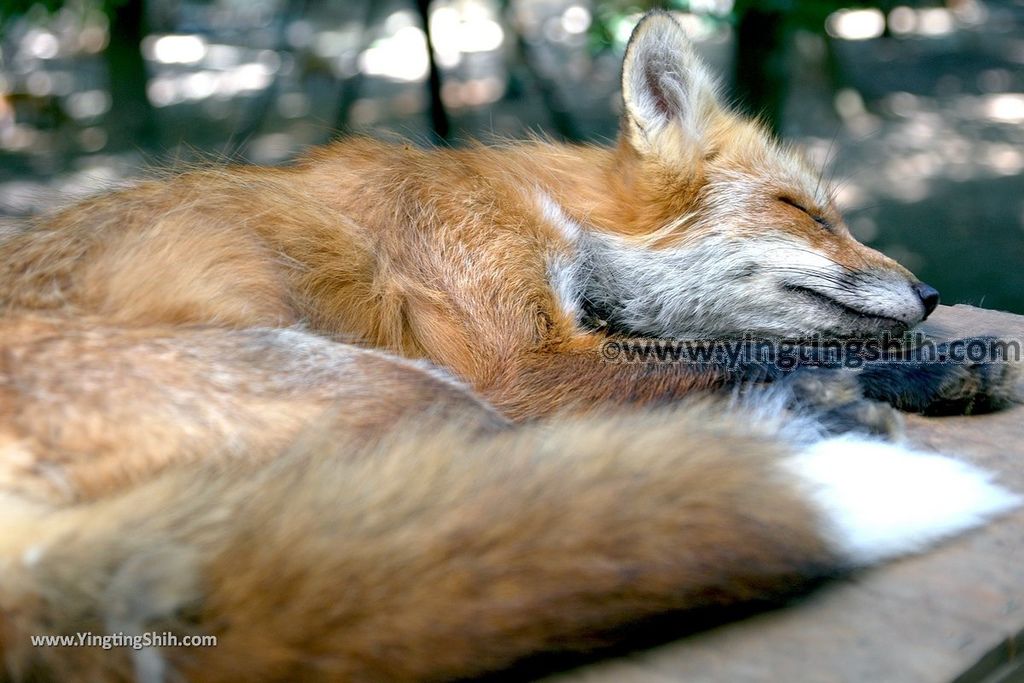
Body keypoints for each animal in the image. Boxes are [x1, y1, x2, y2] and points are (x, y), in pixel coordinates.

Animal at [0, 10, 1019, 683]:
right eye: (805, 211)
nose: (931, 295)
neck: (552, 211)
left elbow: (728, 348)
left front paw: (935, 364)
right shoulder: (514, 364)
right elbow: (740, 353)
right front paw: (928, 365)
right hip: (421, 399)